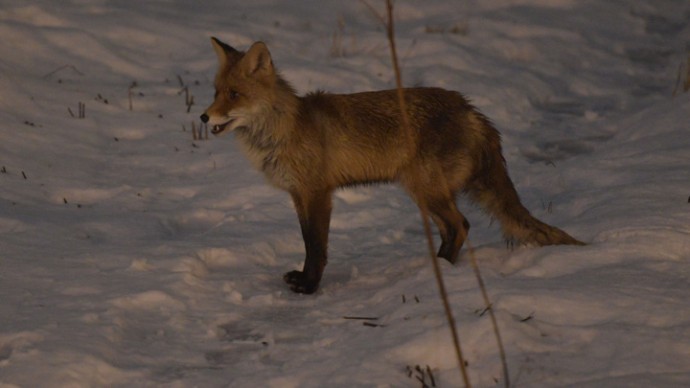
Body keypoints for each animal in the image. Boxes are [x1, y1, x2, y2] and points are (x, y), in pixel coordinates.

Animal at [199, 38, 580, 294]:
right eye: (216, 91)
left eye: (234, 95)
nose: (203, 117)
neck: (284, 130)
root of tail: (470, 108)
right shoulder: (298, 195)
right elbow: (308, 240)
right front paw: (306, 280)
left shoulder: (317, 193)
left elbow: (315, 245)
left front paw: (309, 286)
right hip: (427, 193)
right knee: (454, 227)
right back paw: (436, 267)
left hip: (425, 190)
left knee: (461, 225)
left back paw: (440, 270)